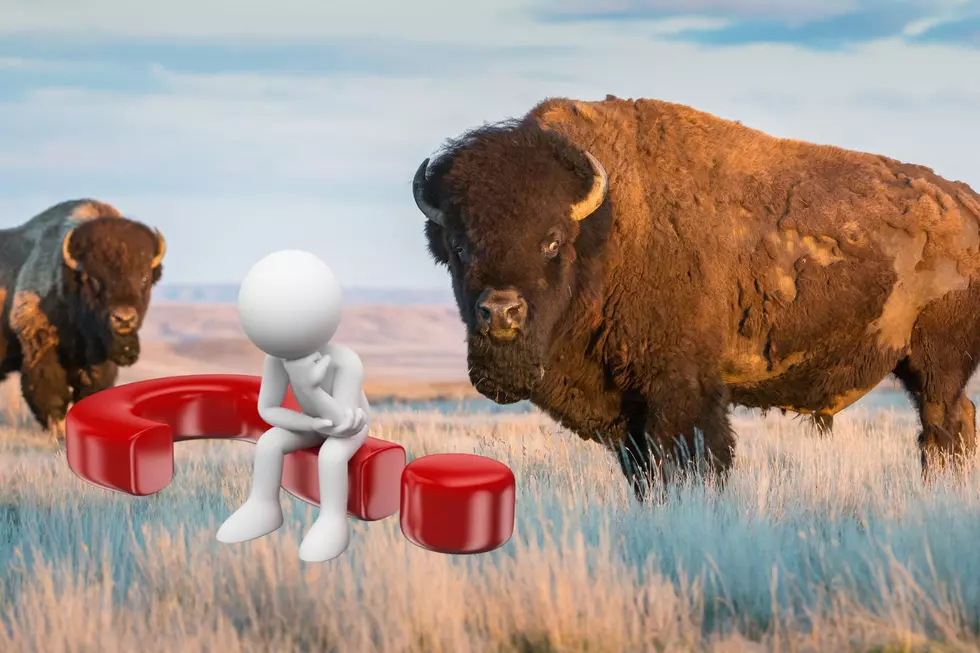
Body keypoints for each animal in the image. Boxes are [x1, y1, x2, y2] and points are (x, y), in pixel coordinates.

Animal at [410, 94, 980, 500]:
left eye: (552, 241)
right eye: (459, 246)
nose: (500, 312)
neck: (607, 227)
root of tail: (965, 203)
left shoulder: (681, 390)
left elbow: (694, 459)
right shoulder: (627, 413)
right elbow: (645, 472)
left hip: (935, 364)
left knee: (943, 428)